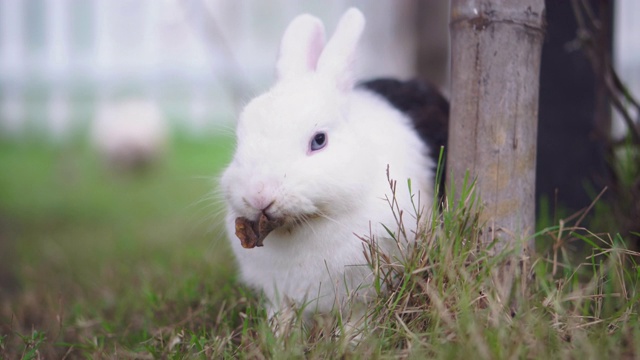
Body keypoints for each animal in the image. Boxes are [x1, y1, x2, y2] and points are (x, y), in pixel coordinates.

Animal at [219, 6, 440, 326]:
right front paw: (278, 337)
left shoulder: (361, 297)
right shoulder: (280, 296)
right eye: (240, 139)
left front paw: (354, 340)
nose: (259, 195)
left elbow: (356, 324)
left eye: (319, 140)